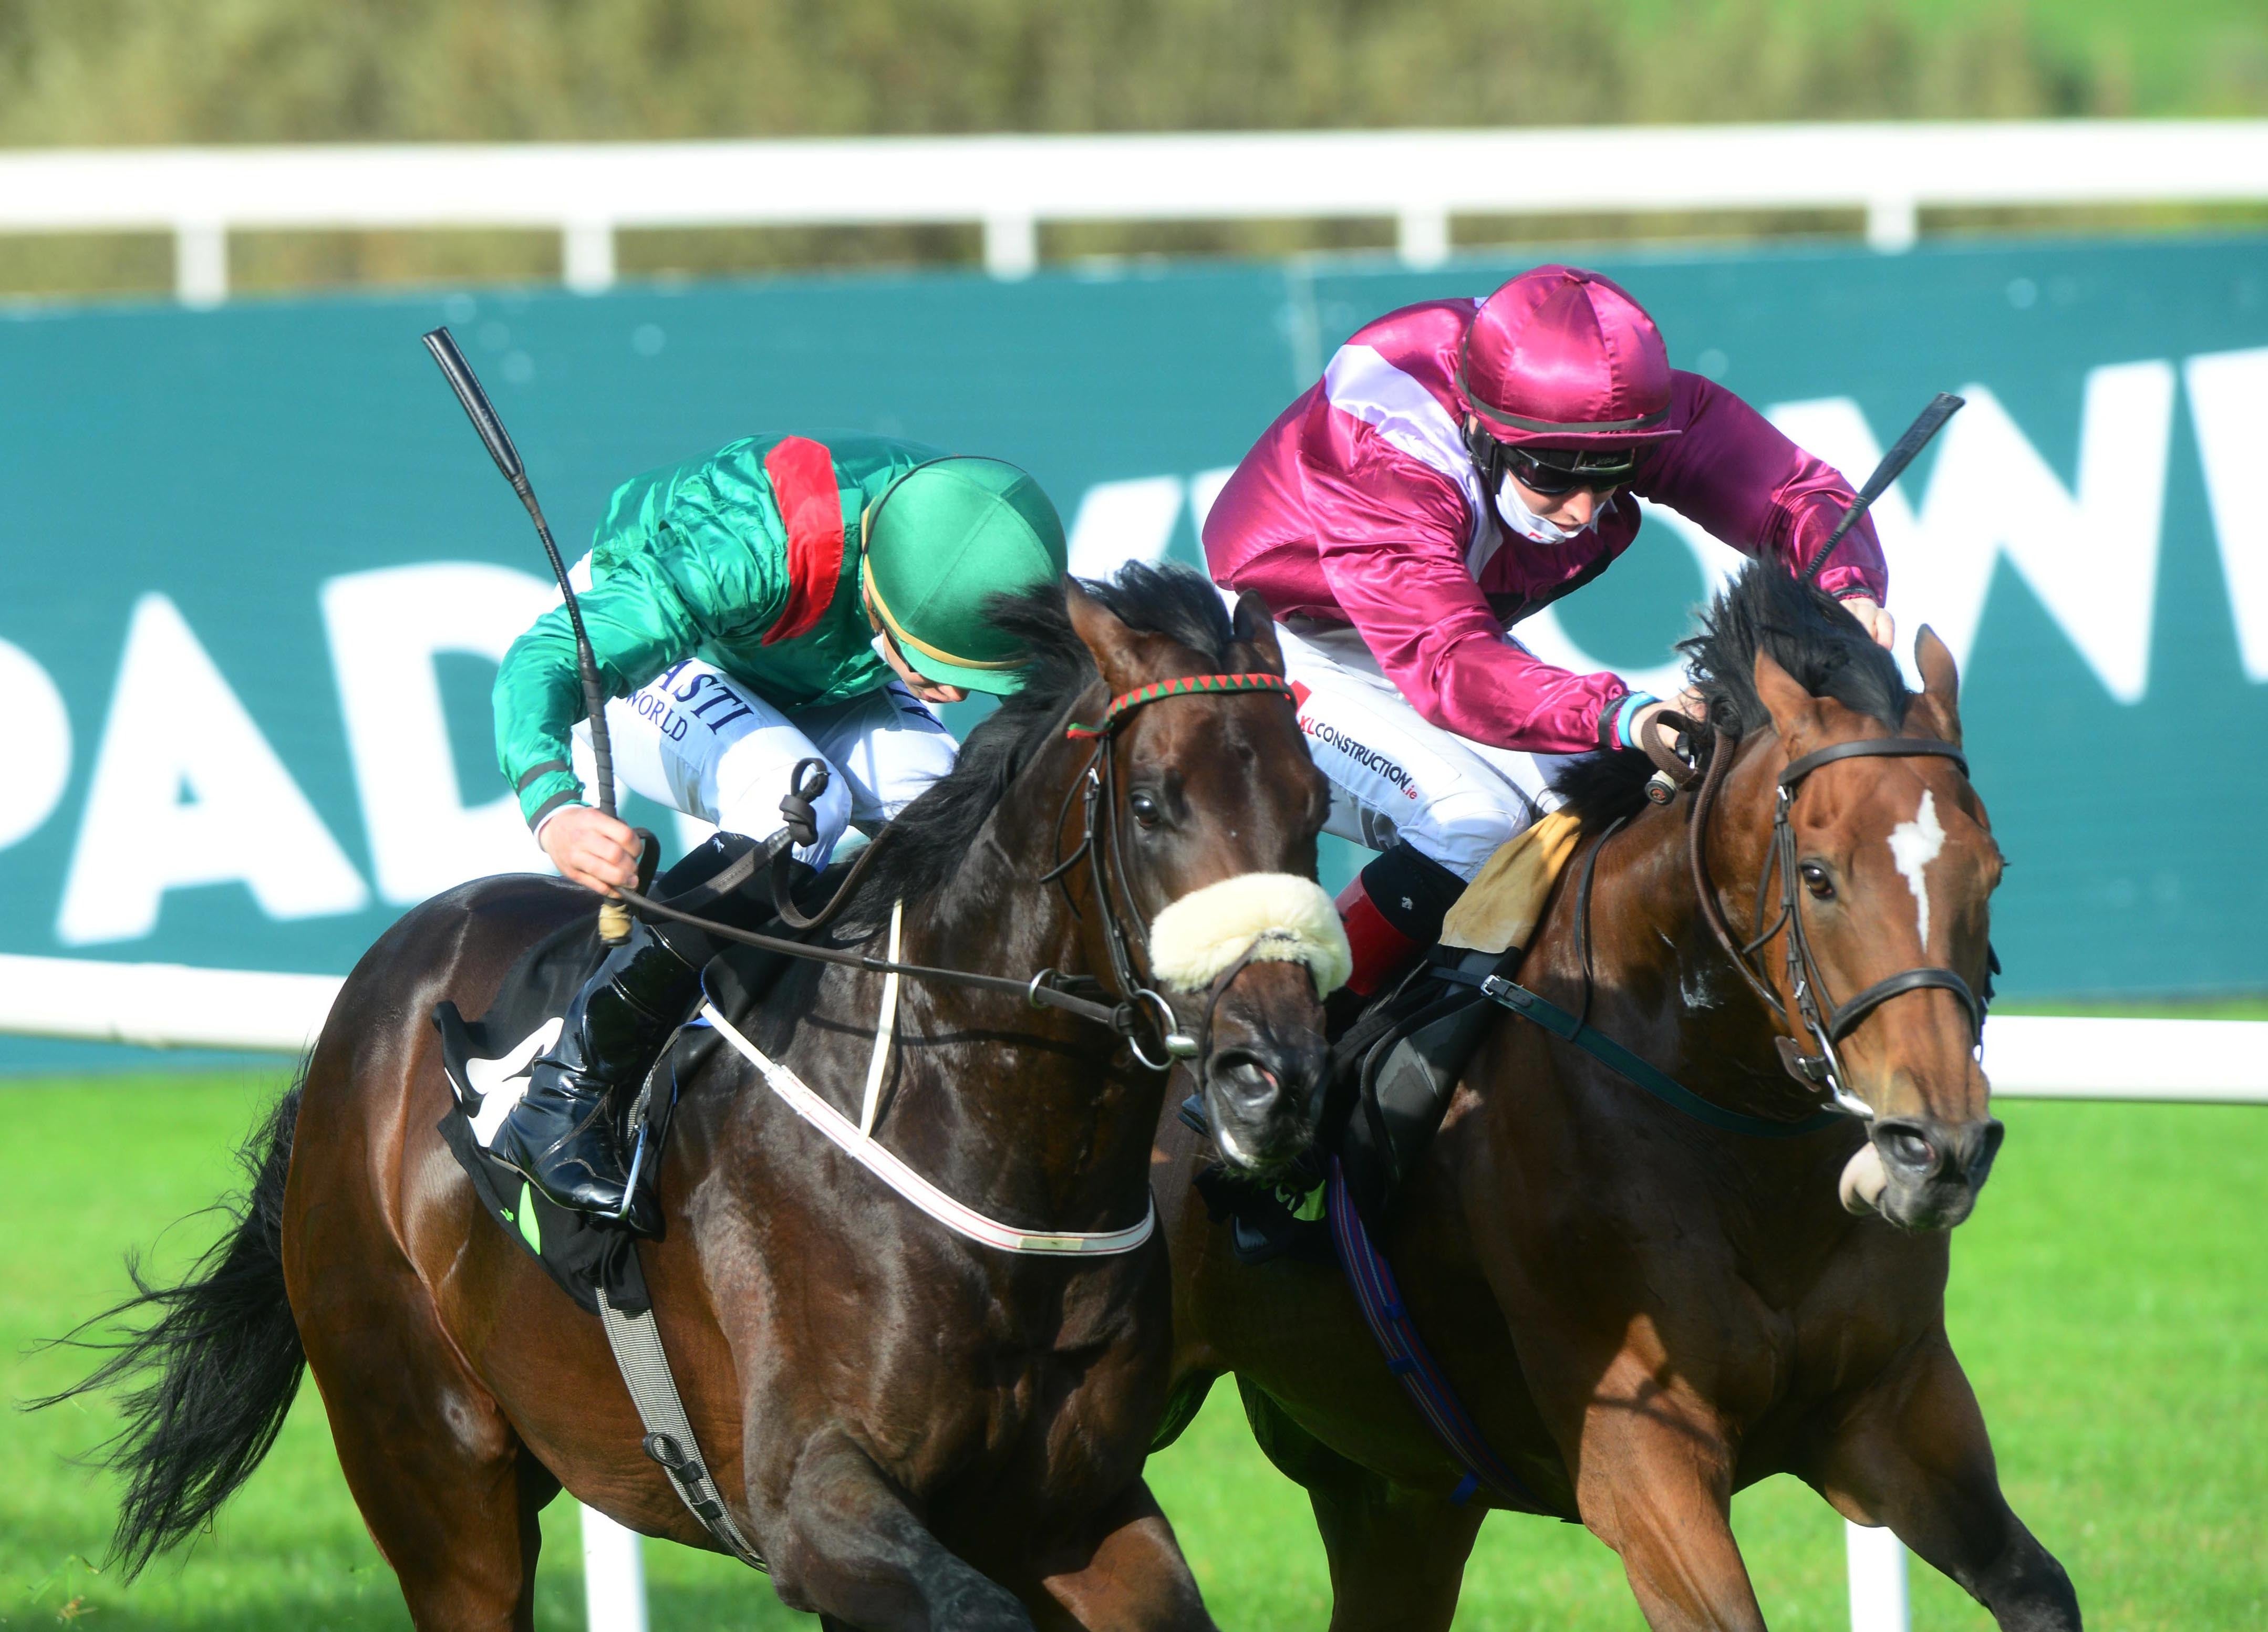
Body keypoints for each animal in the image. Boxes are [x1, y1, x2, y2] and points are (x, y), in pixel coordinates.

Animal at [1161, 564, 2077, 1631]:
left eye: (1990, 868)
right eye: (1817, 877)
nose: (1937, 1147)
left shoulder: (1891, 1404)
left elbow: (2037, 1589)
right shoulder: (1640, 1446)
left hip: (1394, 1489)